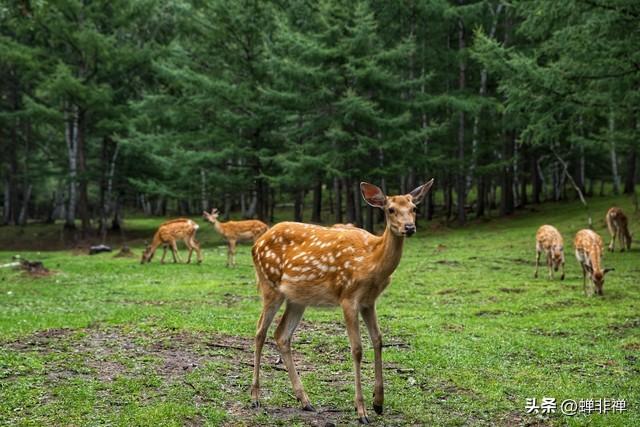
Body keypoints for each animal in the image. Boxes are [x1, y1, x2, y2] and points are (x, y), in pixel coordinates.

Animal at [250, 178, 436, 424]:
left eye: (414, 208)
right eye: (390, 209)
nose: (409, 227)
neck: (372, 262)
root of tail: (255, 245)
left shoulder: (369, 301)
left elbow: (378, 340)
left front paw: (378, 403)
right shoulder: (348, 297)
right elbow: (357, 349)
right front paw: (361, 411)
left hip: (297, 298)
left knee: (281, 335)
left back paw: (305, 400)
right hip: (269, 285)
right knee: (260, 332)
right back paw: (255, 397)